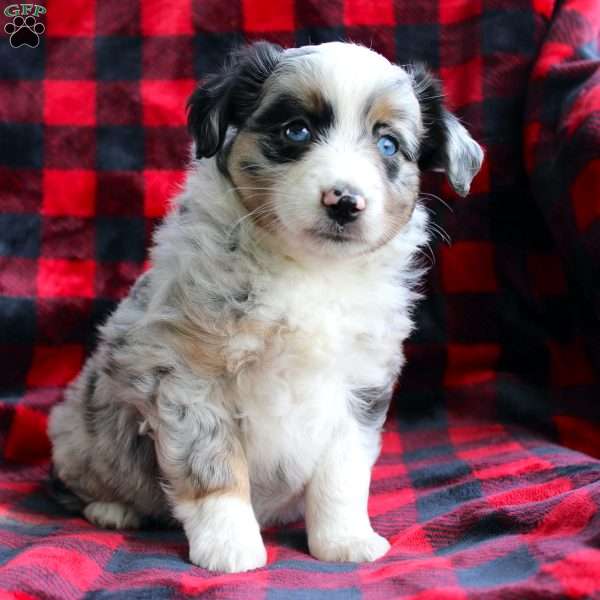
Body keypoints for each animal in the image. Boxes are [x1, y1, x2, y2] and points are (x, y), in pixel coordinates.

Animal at [47, 41, 482, 572]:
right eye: (296, 130)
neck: (310, 269)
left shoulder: (361, 383)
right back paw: (113, 510)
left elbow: (343, 472)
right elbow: (212, 465)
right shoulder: (188, 375)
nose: (344, 201)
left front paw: (345, 540)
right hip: (82, 428)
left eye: (388, 145)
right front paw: (230, 548)